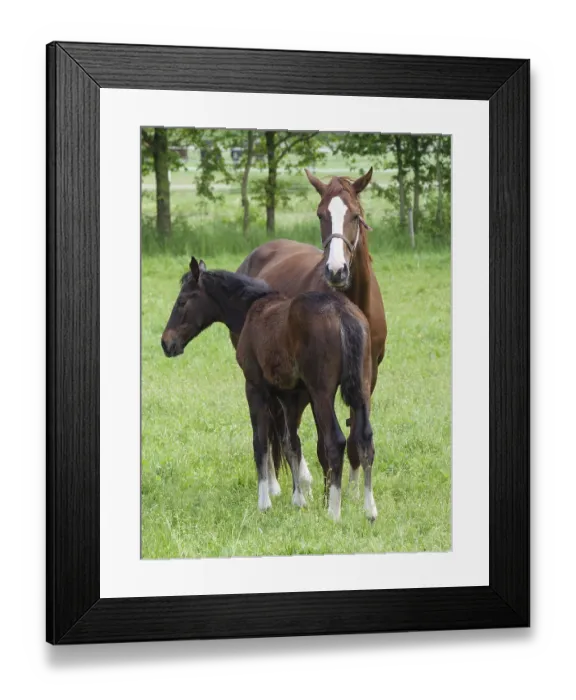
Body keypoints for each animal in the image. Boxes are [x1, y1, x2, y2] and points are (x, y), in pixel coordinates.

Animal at [161, 257, 377, 522]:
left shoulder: (254, 387)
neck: (252, 310)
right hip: (362, 390)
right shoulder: (291, 395)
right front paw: (298, 498)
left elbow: (260, 442)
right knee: (365, 438)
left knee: (335, 441)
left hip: (323, 392)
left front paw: (264, 502)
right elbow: (291, 443)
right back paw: (370, 509)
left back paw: (334, 512)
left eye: (182, 301)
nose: (166, 343)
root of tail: (343, 313)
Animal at [233, 168, 387, 497]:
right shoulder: (317, 382)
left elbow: (356, 436)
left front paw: (353, 492)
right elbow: (322, 440)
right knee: (273, 423)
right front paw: (331, 491)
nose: (336, 270)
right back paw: (278, 484)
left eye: (356, 215)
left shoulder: (368, 375)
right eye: (320, 215)